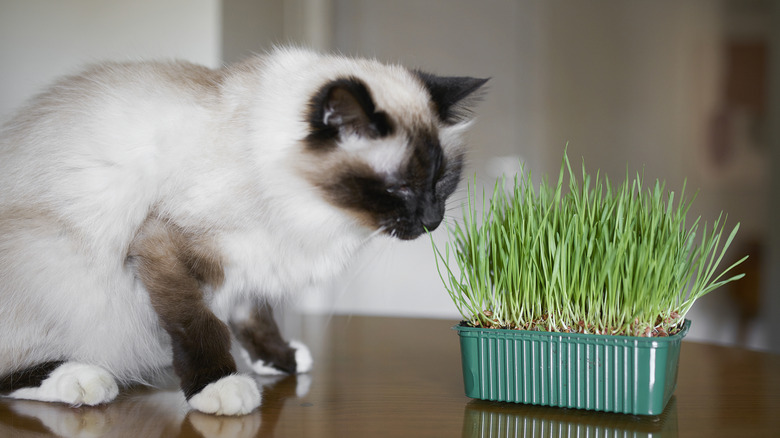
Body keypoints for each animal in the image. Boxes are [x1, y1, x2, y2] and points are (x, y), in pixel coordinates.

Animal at [0, 46, 488, 416]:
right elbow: (200, 323)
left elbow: (255, 315)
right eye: (399, 188)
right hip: (59, 263)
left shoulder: (257, 259)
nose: (432, 219)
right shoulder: (166, 243)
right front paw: (218, 385)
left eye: (442, 181)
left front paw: (282, 359)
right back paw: (84, 379)